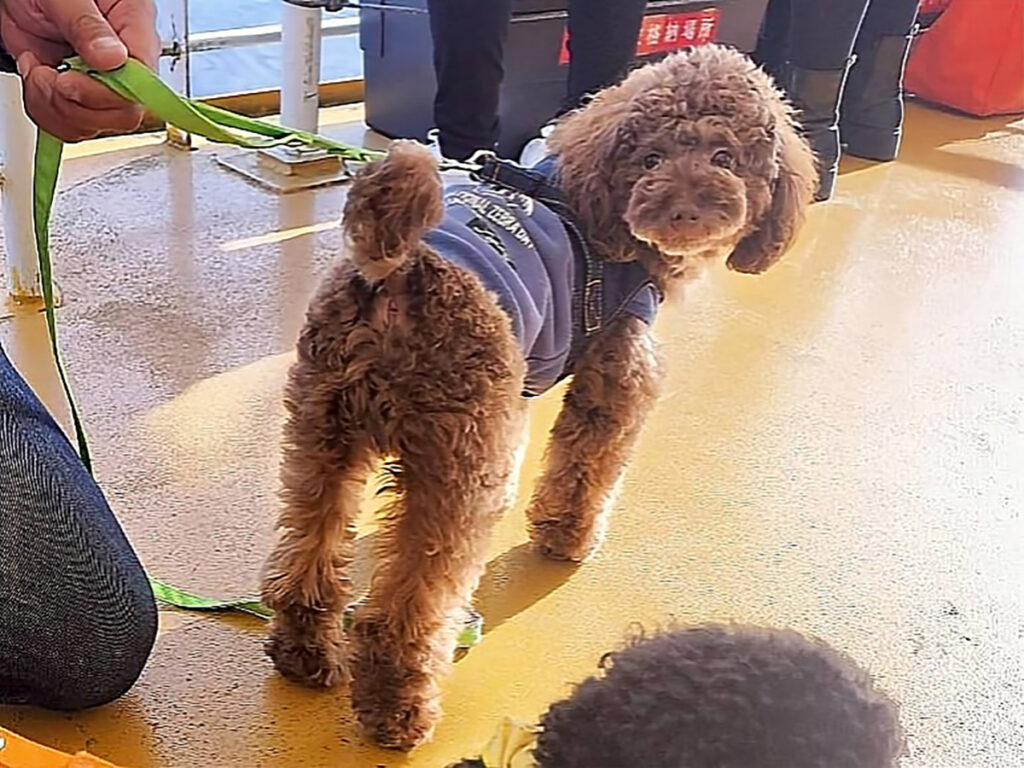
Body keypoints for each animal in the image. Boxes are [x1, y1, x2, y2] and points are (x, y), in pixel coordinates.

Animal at [260, 44, 817, 749]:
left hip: (320, 430)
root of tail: (399, 271)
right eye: (651, 159)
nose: (685, 210)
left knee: (304, 553)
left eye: (725, 157)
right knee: (405, 613)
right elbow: (586, 467)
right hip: (465, 462)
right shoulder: (616, 379)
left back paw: (304, 653)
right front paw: (567, 538)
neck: (586, 200)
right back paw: (399, 710)